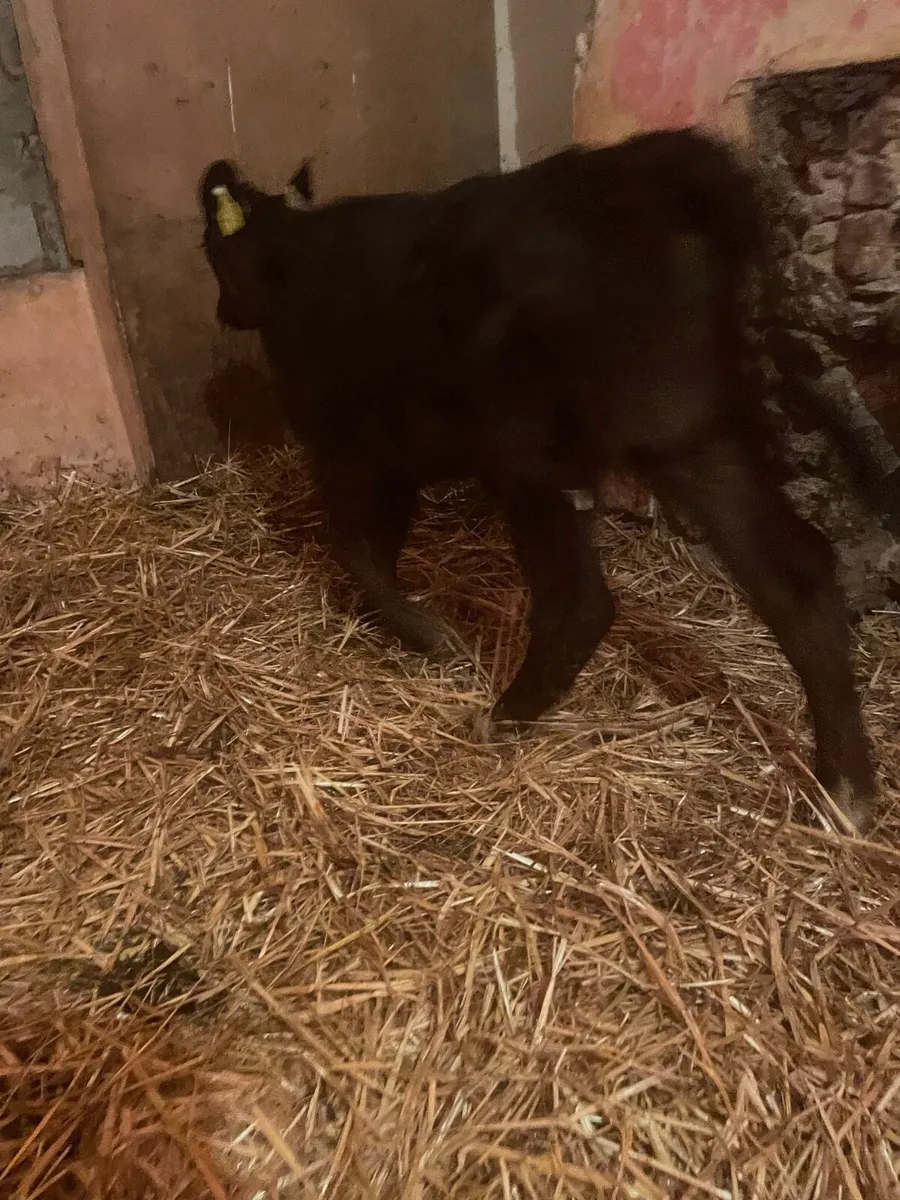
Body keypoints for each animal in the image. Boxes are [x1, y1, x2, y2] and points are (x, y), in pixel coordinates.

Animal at [198, 129, 882, 834]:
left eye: (211, 252)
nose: (224, 310)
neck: (293, 257)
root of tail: (654, 169)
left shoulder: (351, 449)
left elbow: (359, 553)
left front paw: (430, 637)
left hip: (530, 454)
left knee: (579, 603)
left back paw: (502, 717)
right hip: (690, 437)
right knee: (795, 577)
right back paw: (845, 791)